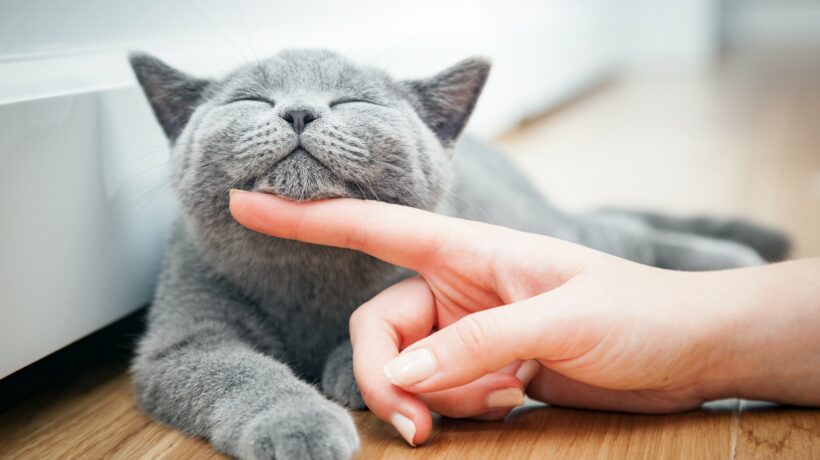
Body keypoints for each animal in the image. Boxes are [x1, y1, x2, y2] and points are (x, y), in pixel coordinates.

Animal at [130, 49, 788, 460]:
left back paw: (736, 262)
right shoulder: (183, 340)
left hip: (542, 226)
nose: (299, 110)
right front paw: (301, 424)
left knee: (615, 231)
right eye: (250, 98)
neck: (306, 271)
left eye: (351, 102)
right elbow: (240, 373)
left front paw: (350, 369)